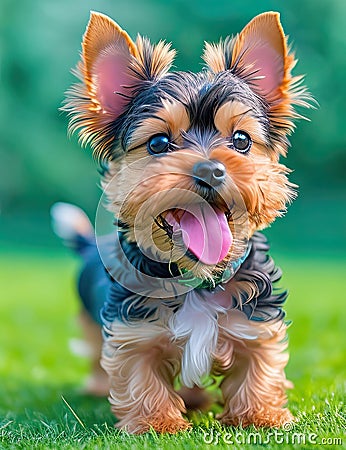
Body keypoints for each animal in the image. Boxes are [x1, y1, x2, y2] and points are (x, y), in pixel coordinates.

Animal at [50, 10, 310, 432]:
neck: (195, 276)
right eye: (158, 143)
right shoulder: (130, 329)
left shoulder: (257, 319)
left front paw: (262, 416)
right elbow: (138, 374)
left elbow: (260, 364)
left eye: (241, 140)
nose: (211, 170)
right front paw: (158, 424)